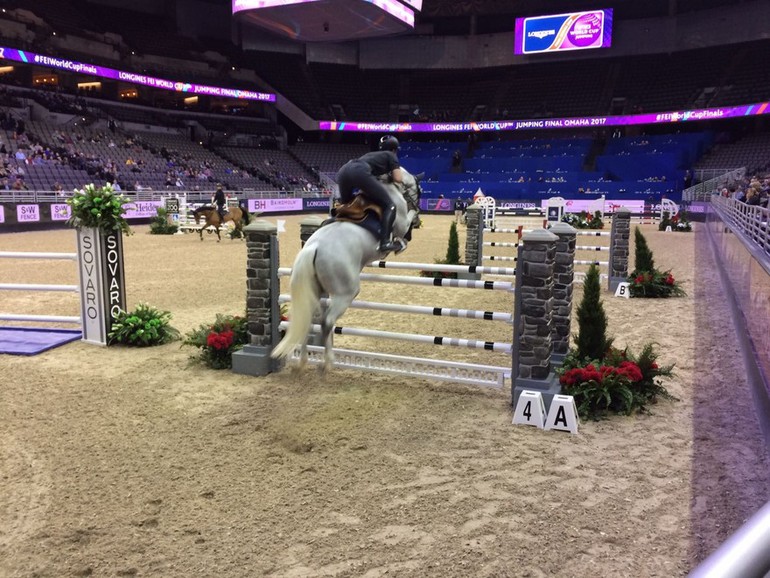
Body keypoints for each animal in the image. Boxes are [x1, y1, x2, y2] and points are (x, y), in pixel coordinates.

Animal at [270, 169, 424, 372]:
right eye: (420, 192)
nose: (418, 225)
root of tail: (314, 247)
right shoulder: (401, 222)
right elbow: (409, 217)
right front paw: (405, 237)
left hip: (316, 290)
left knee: (308, 320)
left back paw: (303, 360)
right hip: (346, 293)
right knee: (327, 322)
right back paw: (328, 362)